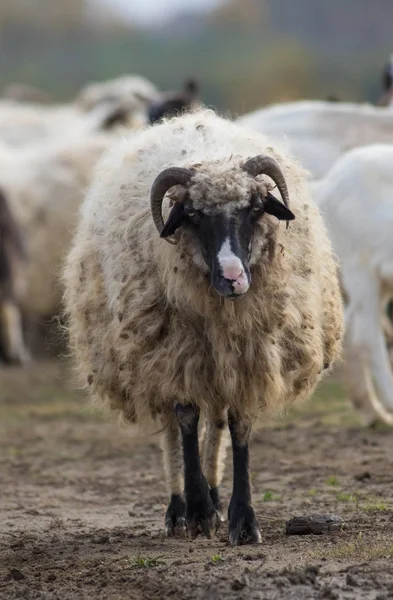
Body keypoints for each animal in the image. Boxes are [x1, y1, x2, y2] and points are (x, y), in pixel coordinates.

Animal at [62, 110, 342, 548]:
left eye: (256, 208)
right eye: (193, 215)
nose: (233, 277)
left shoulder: (249, 356)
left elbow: (238, 427)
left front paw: (242, 519)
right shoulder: (175, 354)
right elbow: (186, 421)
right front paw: (196, 513)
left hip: (214, 363)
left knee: (216, 422)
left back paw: (213, 491)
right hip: (153, 357)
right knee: (173, 433)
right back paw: (180, 508)